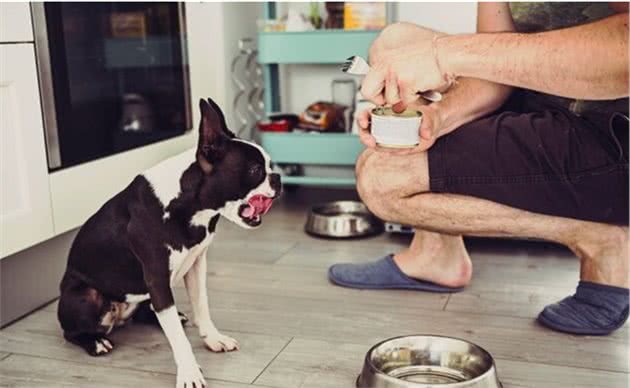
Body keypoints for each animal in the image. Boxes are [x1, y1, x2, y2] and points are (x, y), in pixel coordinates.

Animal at [58, 98, 282, 386]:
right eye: (255, 170)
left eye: (269, 165)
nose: (277, 177)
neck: (188, 204)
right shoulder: (157, 279)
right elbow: (178, 338)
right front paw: (189, 372)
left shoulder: (196, 265)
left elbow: (201, 304)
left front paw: (213, 339)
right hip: (87, 295)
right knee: (70, 333)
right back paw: (95, 342)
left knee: (151, 311)